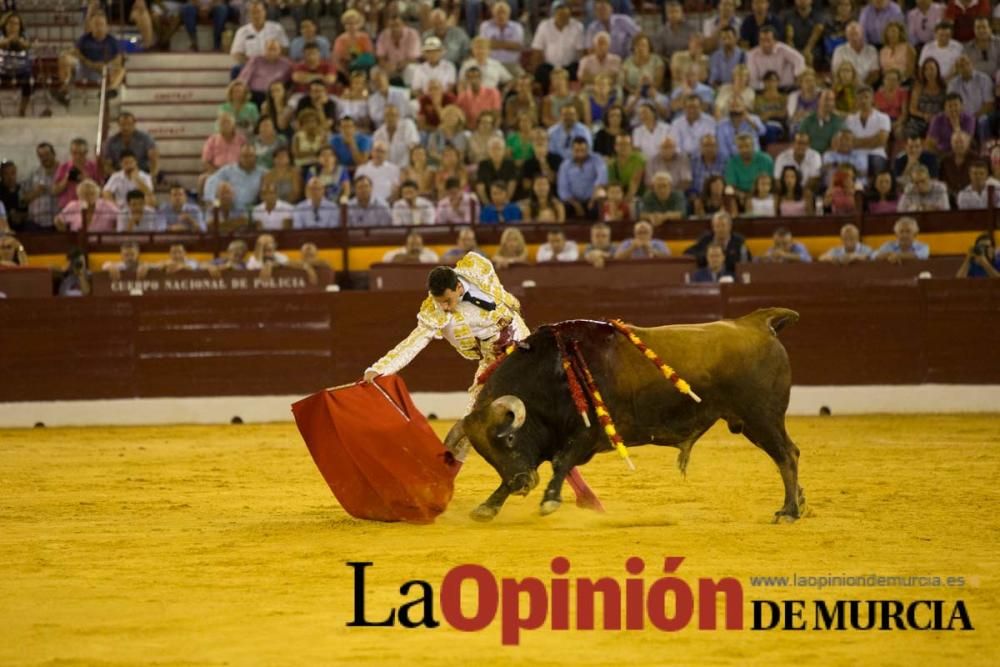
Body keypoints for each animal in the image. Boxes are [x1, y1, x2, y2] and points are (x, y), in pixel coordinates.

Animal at [446, 308, 804, 520]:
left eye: (507, 439)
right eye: (485, 453)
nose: (522, 484)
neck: (552, 374)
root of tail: (756, 322)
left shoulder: (586, 435)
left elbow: (561, 463)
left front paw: (549, 500)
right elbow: (535, 466)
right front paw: (488, 506)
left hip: (762, 417)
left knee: (785, 455)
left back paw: (788, 510)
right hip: (752, 422)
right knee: (789, 453)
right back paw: (799, 504)